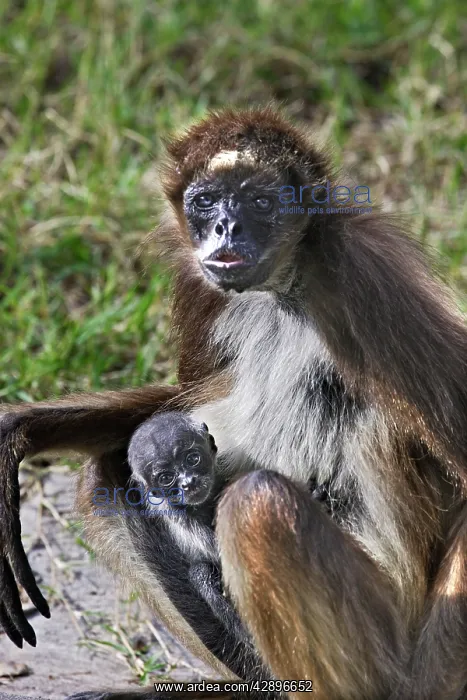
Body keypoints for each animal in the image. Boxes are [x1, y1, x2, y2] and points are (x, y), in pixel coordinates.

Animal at [0, 106, 466, 700]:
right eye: (206, 202)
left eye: (259, 201)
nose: (227, 227)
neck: (281, 289)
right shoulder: (199, 284)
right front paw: (23, 427)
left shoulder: (361, 269)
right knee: (107, 474)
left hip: (385, 639)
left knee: (257, 501)